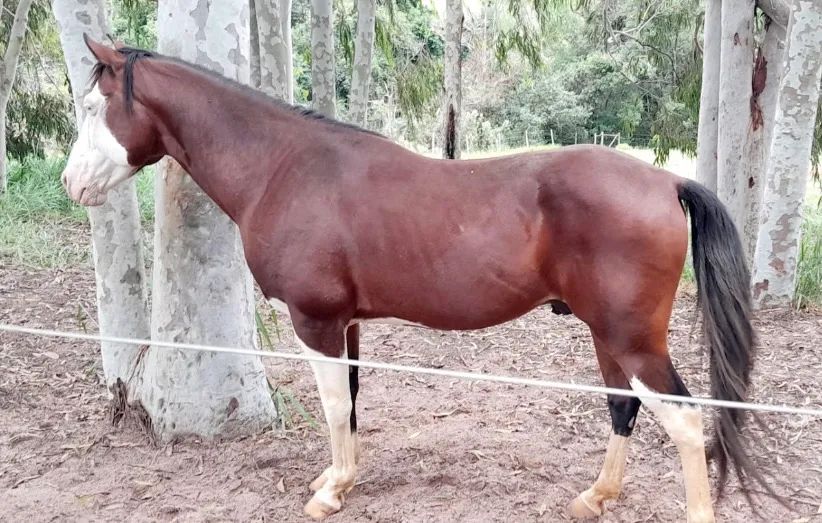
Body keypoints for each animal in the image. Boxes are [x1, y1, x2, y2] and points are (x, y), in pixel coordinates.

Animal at [61, 36, 767, 522]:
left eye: (95, 105)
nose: (72, 184)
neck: (285, 168)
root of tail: (667, 181)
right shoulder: (345, 323)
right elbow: (349, 398)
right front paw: (340, 480)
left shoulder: (315, 321)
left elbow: (332, 404)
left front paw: (330, 492)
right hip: (608, 336)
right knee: (625, 407)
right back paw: (595, 496)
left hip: (631, 339)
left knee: (683, 420)